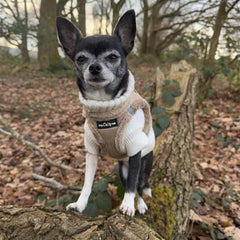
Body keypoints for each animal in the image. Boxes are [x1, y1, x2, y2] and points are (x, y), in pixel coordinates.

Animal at [56, 9, 155, 217]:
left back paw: (140, 204)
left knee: (140, 185)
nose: (94, 67)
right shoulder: (92, 152)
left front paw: (128, 205)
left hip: (143, 164)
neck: (105, 107)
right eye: (81, 59)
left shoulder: (135, 151)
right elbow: (87, 183)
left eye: (112, 57)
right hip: (122, 169)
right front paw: (80, 204)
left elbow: (132, 185)